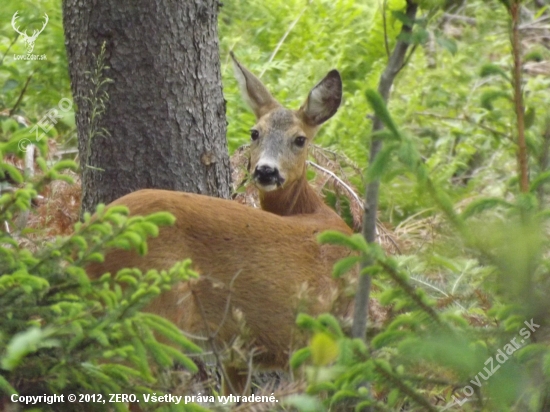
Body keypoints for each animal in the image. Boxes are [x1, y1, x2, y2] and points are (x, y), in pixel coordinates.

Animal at [86, 53, 354, 394]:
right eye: (255, 133)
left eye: (300, 139)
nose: (266, 171)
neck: (313, 211)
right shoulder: (315, 337)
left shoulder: (238, 355)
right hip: (152, 312)